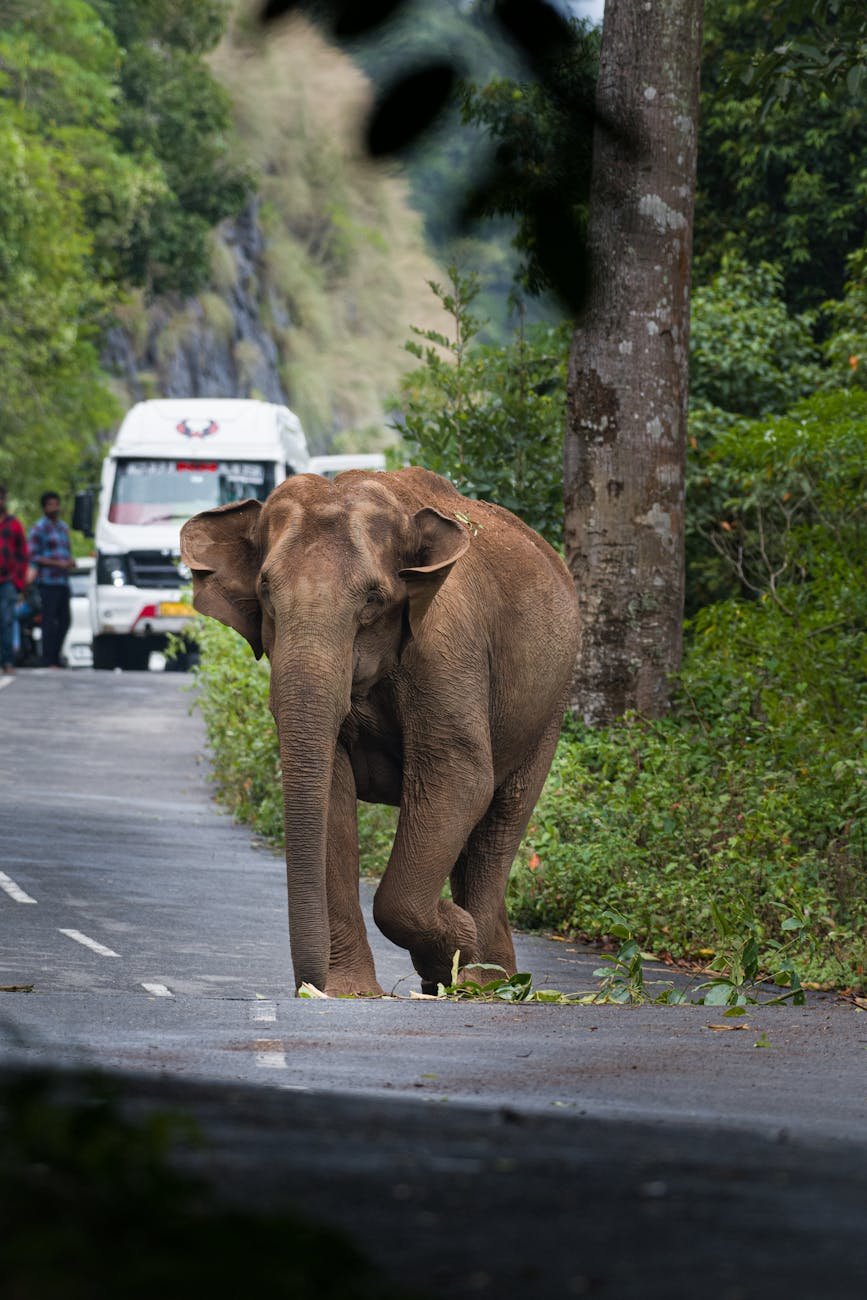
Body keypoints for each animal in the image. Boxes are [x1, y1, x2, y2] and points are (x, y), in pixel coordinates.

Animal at [180, 467, 580, 996]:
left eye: (373, 599)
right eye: (265, 591)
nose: (307, 987)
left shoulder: (446, 649)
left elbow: (459, 778)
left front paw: (455, 939)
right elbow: (331, 792)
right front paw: (349, 992)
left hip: (549, 706)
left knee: (500, 820)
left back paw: (479, 981)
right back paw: (490, 978)